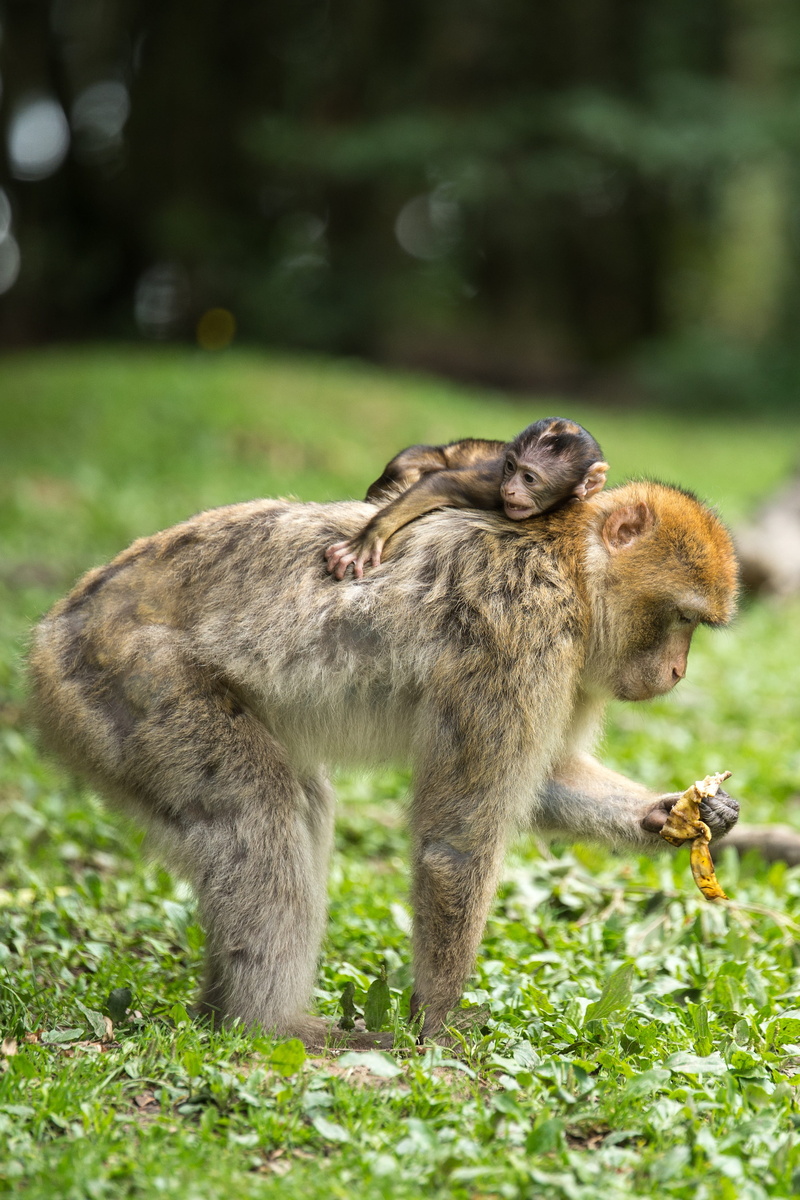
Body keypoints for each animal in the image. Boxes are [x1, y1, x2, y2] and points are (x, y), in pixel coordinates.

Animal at [28, 480, 739, 1046]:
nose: (677, 672)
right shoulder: (522, 634)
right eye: (680, 618)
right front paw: (440, 1027)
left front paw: (679, 813)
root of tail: (51, 635)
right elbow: (457, 842)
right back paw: (267, 1024)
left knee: (297, 806)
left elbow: (546, 780)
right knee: (258, 811)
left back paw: (222, 1011)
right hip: (132, 685)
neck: (570, 566)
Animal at [325, 417, 609, 580]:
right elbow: (442, 482)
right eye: (510, 467)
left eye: (529, 478)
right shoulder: (493, 483)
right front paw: (368, 538)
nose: (510, 489)